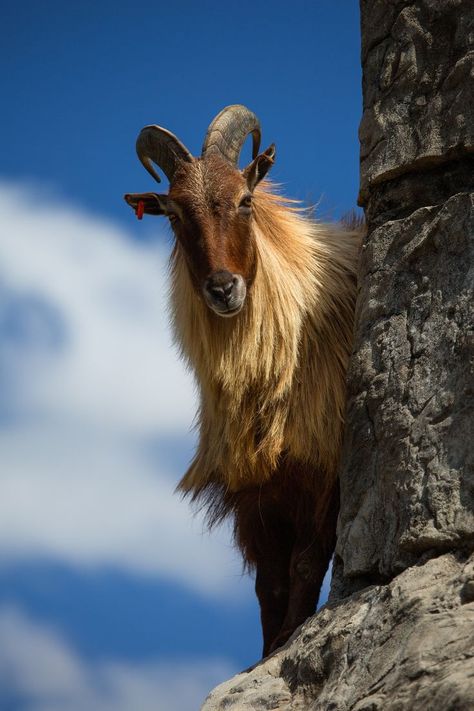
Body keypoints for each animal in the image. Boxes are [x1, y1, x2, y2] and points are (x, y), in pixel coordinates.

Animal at [124, 104, 362, 656]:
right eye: (174, 214)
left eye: (245, 199)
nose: (222, 289)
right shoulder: (258, 496)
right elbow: (269, 585)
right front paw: (267, 652)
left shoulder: (321, 472)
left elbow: (305, 566)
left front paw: (288, 642)